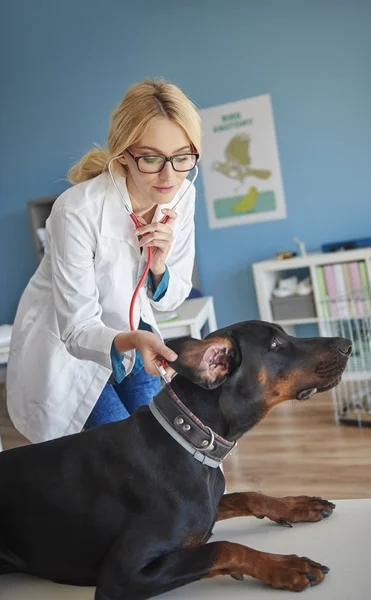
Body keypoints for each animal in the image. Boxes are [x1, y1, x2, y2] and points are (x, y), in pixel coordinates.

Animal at [0, 318, 352, 596]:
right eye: (277, 344)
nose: (347, 344)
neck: (187, 438)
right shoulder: (122, 575)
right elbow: (223, 547)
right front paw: (285, 566)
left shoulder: (208, 506)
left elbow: (247, 495)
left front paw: (296, 506)